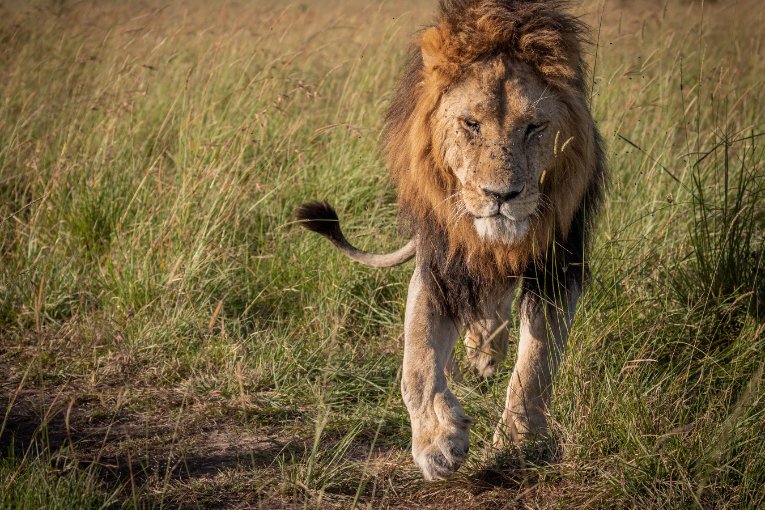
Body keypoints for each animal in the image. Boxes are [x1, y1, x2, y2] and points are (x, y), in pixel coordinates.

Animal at [296, 0, 604, 480]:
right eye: (471, 124)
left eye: (534, 127)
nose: (502, 196)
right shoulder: (439, 264)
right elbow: (417, 361)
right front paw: (438, 441)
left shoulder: (558, 263)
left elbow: (536, 362)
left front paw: (520, 440)